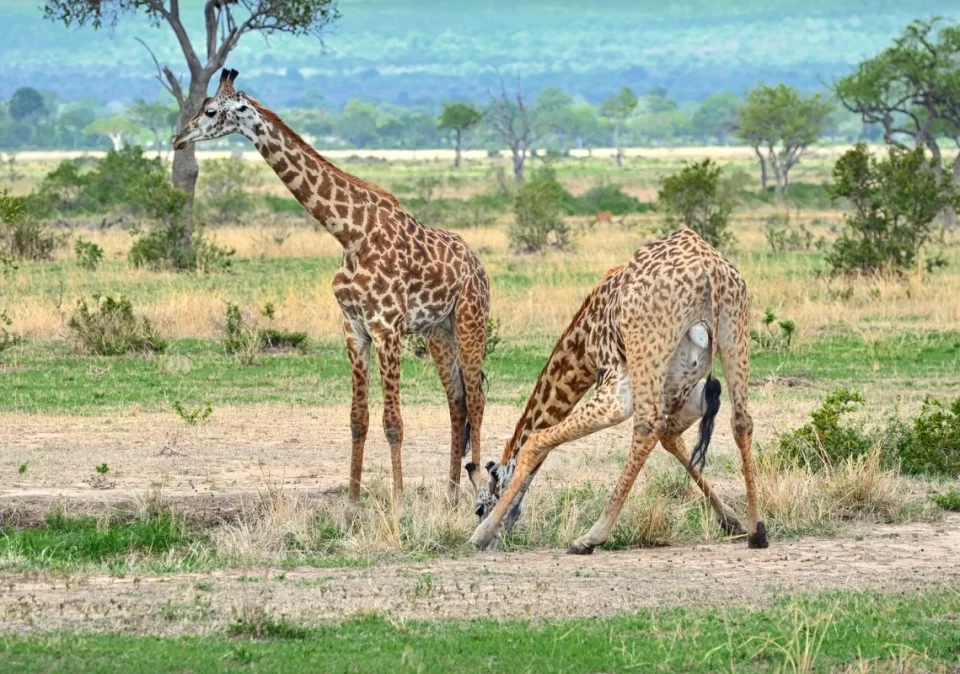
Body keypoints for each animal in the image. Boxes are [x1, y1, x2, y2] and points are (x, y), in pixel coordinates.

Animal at [173, 69, 490, 511]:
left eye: (211, 111)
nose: (178, 138)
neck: (349, 235)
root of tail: (478, 267)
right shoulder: (354, 329)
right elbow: (358, 419)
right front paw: (353, 503)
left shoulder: (387, 328)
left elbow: (393, 421)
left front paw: (397, 502)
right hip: (438, 331)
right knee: (457, 402)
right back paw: (449, 495)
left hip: (471, 321)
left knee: (476, 398)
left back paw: (480, 489)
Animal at [468, 228, 768, 553]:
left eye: (479, 508)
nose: (498, 540)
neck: (582, 348)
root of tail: (710, 269)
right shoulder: (686, 391)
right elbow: (671, 438)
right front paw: (732, 521)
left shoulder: (615, 384)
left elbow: (535, 441)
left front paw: (481, 534)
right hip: (734, 331)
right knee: (741, 421)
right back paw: (758, 531)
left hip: (648, 348)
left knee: (647, 426)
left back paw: (590, 537)